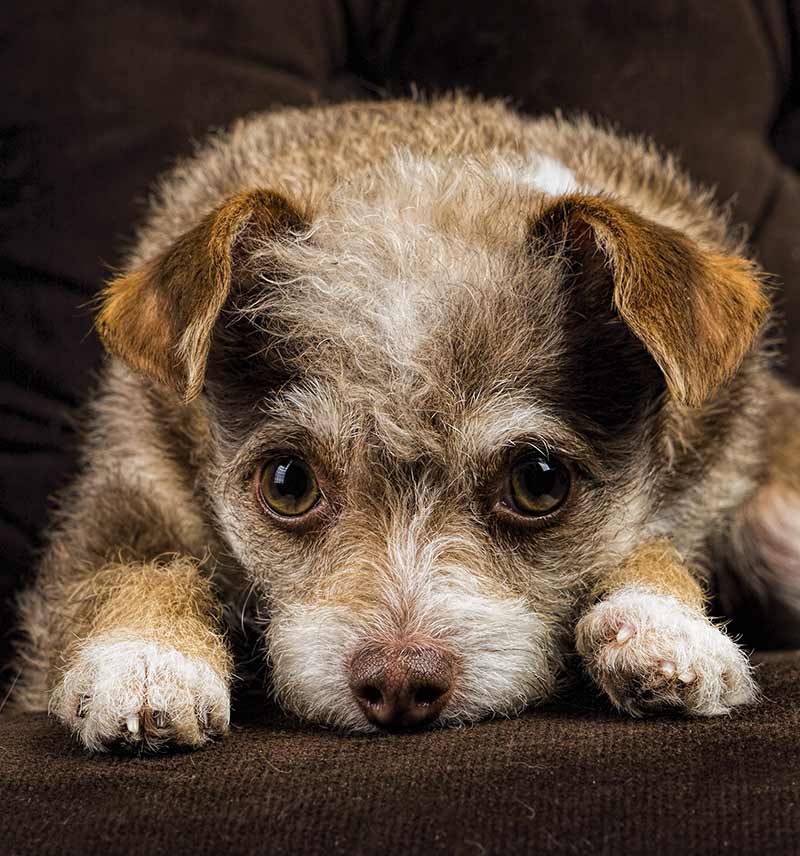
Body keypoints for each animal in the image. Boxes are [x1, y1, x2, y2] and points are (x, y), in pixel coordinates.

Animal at [12, 92, 800, 748]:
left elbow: (650, 539)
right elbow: (128, 565)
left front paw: (663, 625)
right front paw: (146, 662)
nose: (397, 684)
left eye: (539, 482)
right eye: (289, 483)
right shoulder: (131, 481)